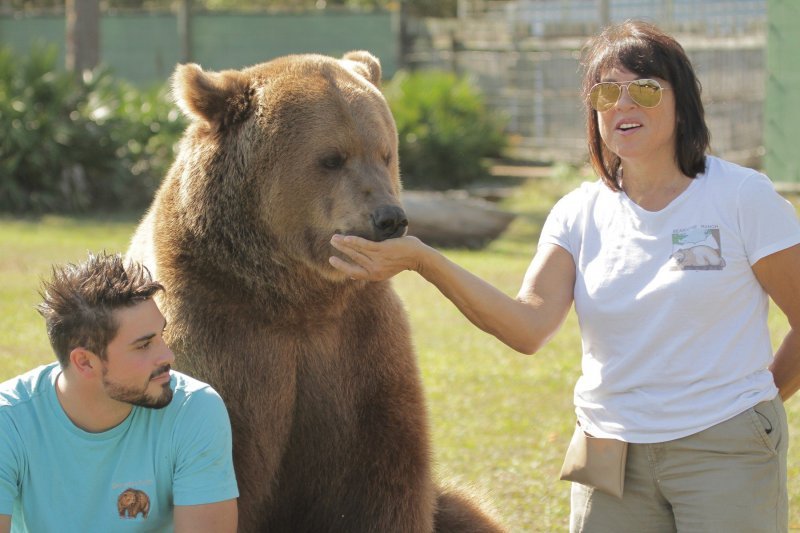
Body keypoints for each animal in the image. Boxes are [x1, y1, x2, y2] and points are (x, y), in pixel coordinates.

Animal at [130, 51, 506, 532]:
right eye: (331, 158)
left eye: (385, 153)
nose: (390, 218)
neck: (295, 300)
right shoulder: (216, 335)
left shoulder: (361, 349)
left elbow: (383, 477)